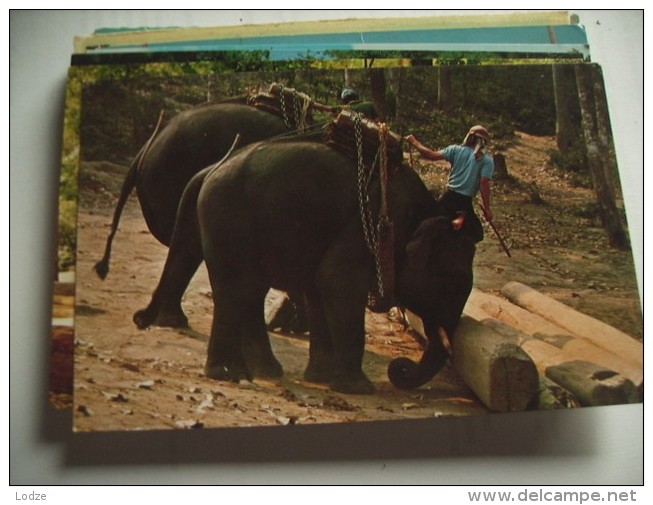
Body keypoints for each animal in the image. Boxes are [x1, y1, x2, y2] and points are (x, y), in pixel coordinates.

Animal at [134, 119, 474, 394]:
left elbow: (318, 289)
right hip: (227, 221)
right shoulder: (367, 227)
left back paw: (263, 371)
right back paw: (229, 374)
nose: (399, 369)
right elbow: (336, 282)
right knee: (235, 290)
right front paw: (357, 388)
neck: (425, 210)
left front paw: (320, 377)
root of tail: (211, 170)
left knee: (248, 292)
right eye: (454, 283)